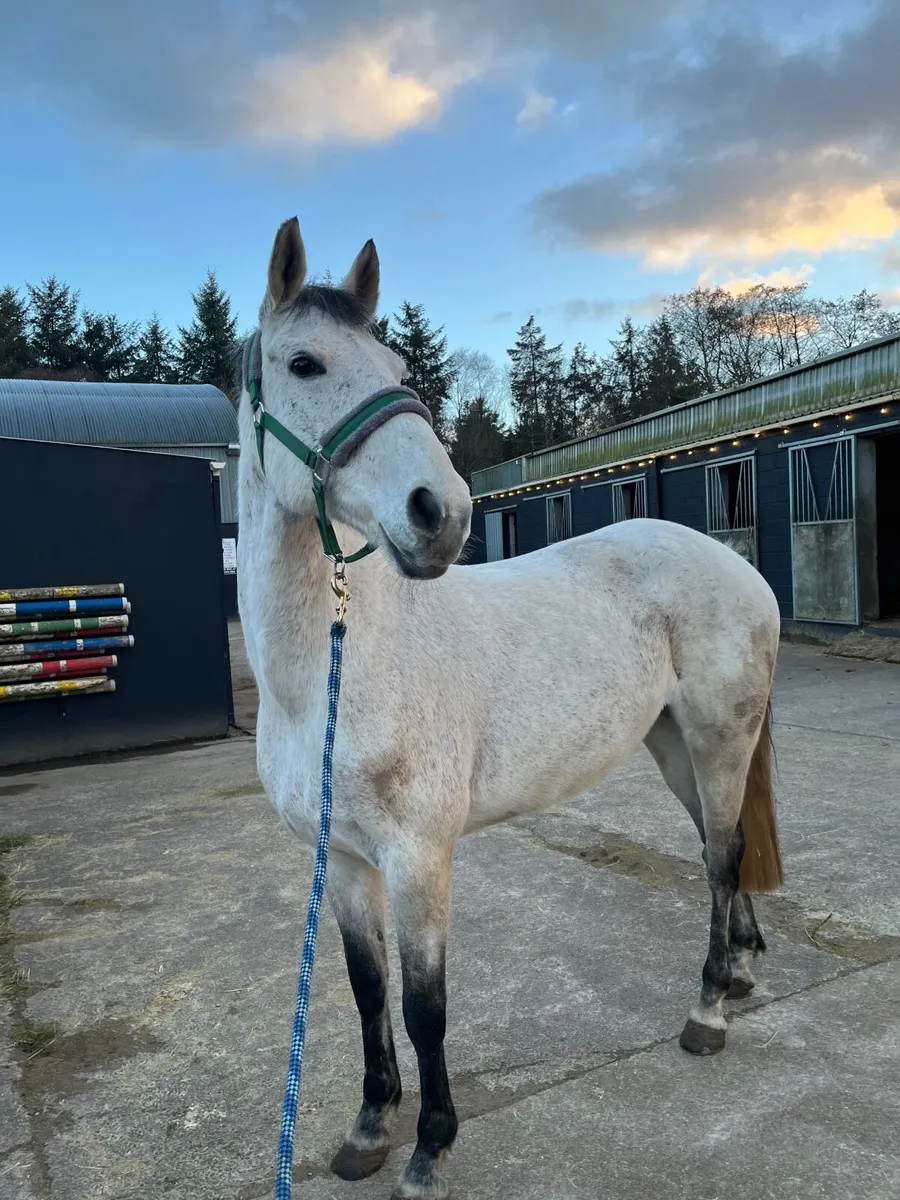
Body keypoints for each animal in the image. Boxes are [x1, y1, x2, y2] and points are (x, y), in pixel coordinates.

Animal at [237, 217, 784, 1200]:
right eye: (304, 362)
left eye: (395, 361)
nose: (441, 513)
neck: (333, 676)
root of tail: (736, 566)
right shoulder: (341, 861)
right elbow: (367, 991)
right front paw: (370, 1128)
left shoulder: (419, 858)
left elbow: (425, 1007)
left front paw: (429, 1149)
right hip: (673, 747)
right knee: (719, 851)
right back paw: (740, 974)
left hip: (721, 740)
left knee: (724, 859)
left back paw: (708, 1012)